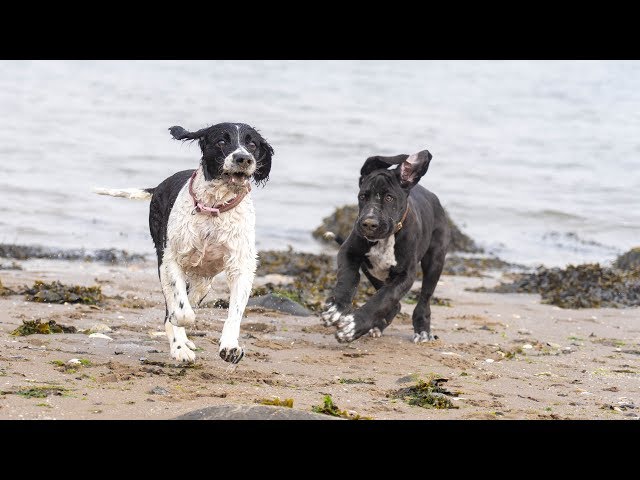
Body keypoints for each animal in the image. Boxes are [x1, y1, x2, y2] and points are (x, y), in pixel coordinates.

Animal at [95, 123, 272, 364]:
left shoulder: (240, 265)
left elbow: (235, 310)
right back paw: (180, 347)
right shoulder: (171, 260)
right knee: (174, 306)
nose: (243, 158)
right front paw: (179, 334)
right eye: (221, 141)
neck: (213, 208)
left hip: (204, 279)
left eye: (252, 143)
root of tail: (159, 186)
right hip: (164, 261)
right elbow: (181, 311)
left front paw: (230, 346)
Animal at [320, 152, 450, 344]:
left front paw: (353, 326)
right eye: (363, 196)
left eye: (389, 197)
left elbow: (383, 298)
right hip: (371, 269)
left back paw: (422, 330)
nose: (368, 224)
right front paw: (337, 307)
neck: (386, 239)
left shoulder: (405, 275)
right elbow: (348, 278)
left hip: (435, 260)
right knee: (395, 304)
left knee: (425, 297)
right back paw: (378, 325)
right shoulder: (349, 252)